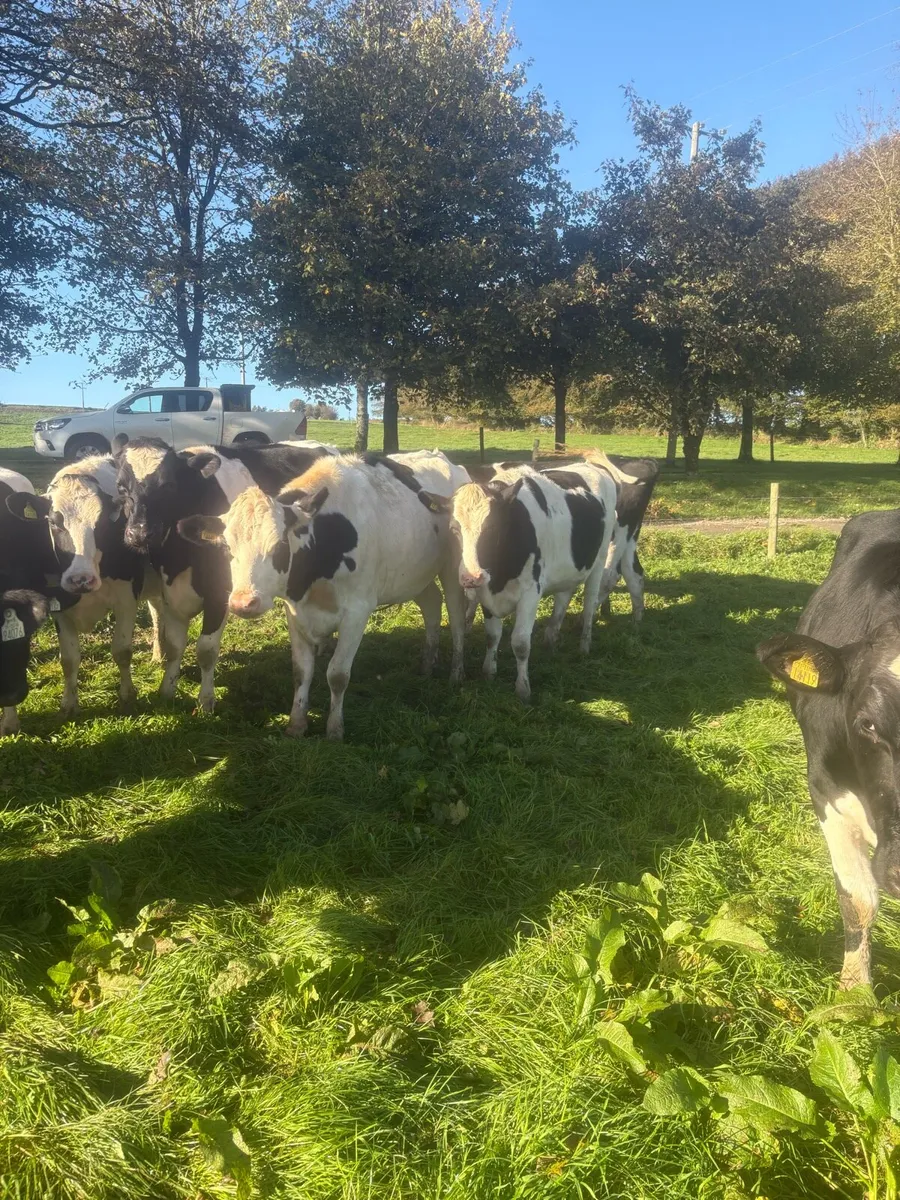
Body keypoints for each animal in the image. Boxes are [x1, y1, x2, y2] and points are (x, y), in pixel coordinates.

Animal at [6, 456, 158, 718]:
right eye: (53, 523)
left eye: (102, 524)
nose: (81, 579)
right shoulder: (60, 607)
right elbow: (69, 659)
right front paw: (69, 703)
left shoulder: (127, 599)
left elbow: (122, 650)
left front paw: (127, 696)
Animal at [113, 437, 339, 709]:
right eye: (121, 487)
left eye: (168, 485)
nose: (139, 534)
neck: (179, 558)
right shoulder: (169, 594)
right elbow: (175, 645)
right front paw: (167, 690)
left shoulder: (220, 593)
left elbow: (206, 649)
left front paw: (206, 701)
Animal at [177, 451, 468, 740]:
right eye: (227, 548)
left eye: (280, 546)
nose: (242, 602)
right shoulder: (295, 612)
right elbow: (301, 671)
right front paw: (296, 723)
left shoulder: (357, 612)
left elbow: (337, 674)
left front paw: (334, 729)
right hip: (416, 575)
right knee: (432, 605)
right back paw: (427, 664)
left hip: (453, 571)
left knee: (456, 619)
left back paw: (456, 674)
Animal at [423, 450, 625, 701]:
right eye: (454, 529)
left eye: (493, 528)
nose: (471, 577)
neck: (501, 575)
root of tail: (590, 466)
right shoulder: (486, 593)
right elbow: (492, 635)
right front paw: (489, 671)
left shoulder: (530, 593)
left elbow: (520, 643)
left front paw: (522, 688)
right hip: (567, 568)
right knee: (563, 597)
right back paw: (551, 639)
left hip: (599, 560)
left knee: (589, 605)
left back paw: (584, 646)